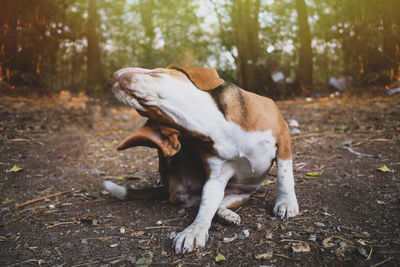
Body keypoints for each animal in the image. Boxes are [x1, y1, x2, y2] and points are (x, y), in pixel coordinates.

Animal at [103, 65, 296, 255]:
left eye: (156, 72)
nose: (111, 78)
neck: (211, 122)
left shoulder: (283, 139)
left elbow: (284, 177)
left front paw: (286, 203)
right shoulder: (216, 178)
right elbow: (206, 206)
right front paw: (195, 230)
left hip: (243, 194)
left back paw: (227, 214)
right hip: (179, 187)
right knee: (205, 202)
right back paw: (224, 214)